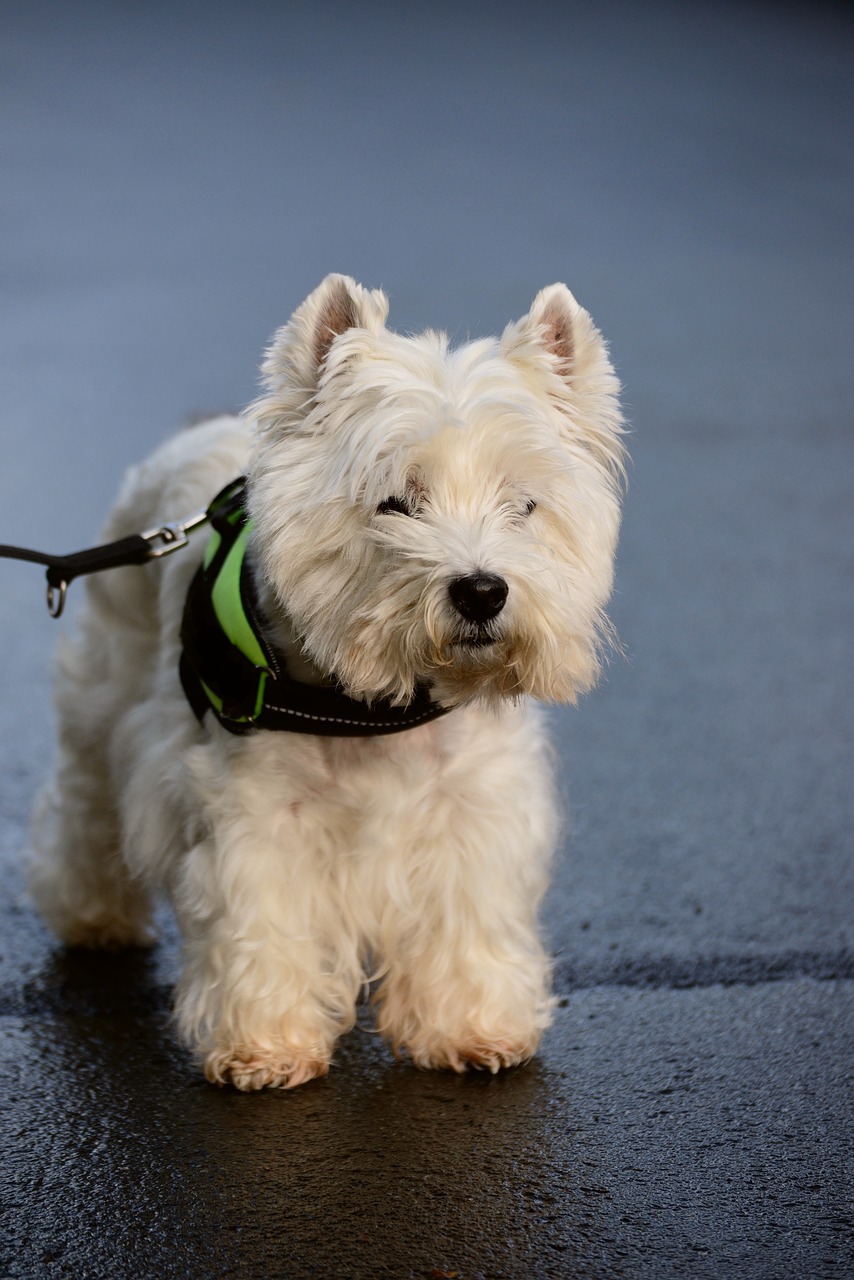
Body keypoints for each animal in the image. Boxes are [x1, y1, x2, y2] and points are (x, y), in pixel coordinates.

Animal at [30, 277, 624, 1090]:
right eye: (395, 501)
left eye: (523, 504)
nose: (482, 592)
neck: (376, 703)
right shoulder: (256, 814)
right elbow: (261, 922)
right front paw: (265, 1046)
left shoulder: (473, 808)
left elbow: (466, 918)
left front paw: (470, 1029)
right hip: (105, 697)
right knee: (86, 807)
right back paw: (94, 918)